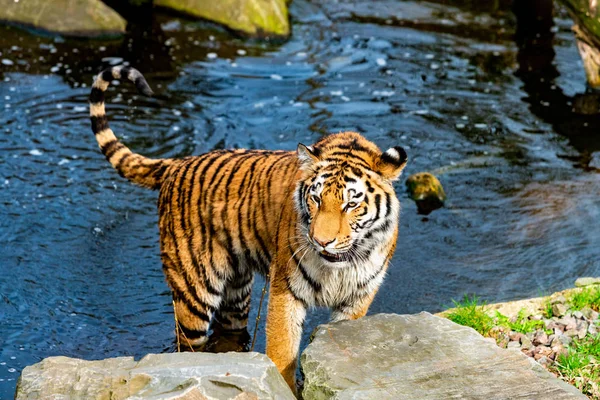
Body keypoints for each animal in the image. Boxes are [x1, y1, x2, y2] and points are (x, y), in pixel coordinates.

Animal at [89, 65, 408, 390]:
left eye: (351, 204)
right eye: (316, 198)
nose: (322, 242)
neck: (338, 267)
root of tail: (178, 163)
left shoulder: (357, 298)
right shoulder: (285, 289)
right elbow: (282, 353)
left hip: (235, 294)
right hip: (193, 292)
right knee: (187, 344)